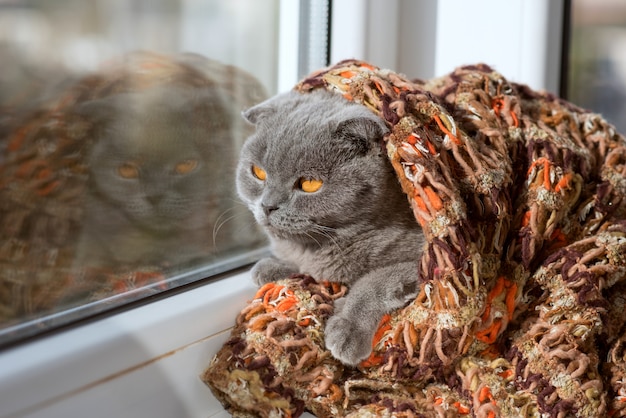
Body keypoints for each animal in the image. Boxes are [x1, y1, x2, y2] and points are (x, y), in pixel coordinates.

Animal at [235, 89, 424, 366]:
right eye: (258, 172)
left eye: (309, 184)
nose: (268, 206)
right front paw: (272, 267)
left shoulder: (427, 261)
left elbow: (374, 280)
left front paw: (347, 327)